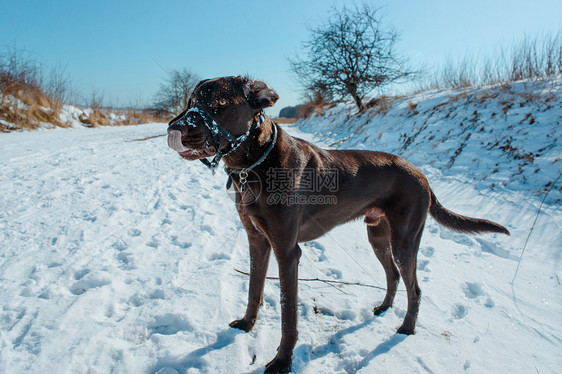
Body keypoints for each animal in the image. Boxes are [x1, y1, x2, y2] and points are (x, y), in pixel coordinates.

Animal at [165, 76, 508, 374]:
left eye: (221, 103)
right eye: (192, 101)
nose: (173, 127)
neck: (255, 164)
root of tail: (421, 174)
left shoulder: (287, 252)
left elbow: (288, 315)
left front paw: (282, 362)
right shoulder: (257, 240)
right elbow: (254, 289)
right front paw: (247, 324)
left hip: (405, 239)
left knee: (415, 287)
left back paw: (406, 328)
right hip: (378, 236)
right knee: (394, 275)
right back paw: (384, 308)